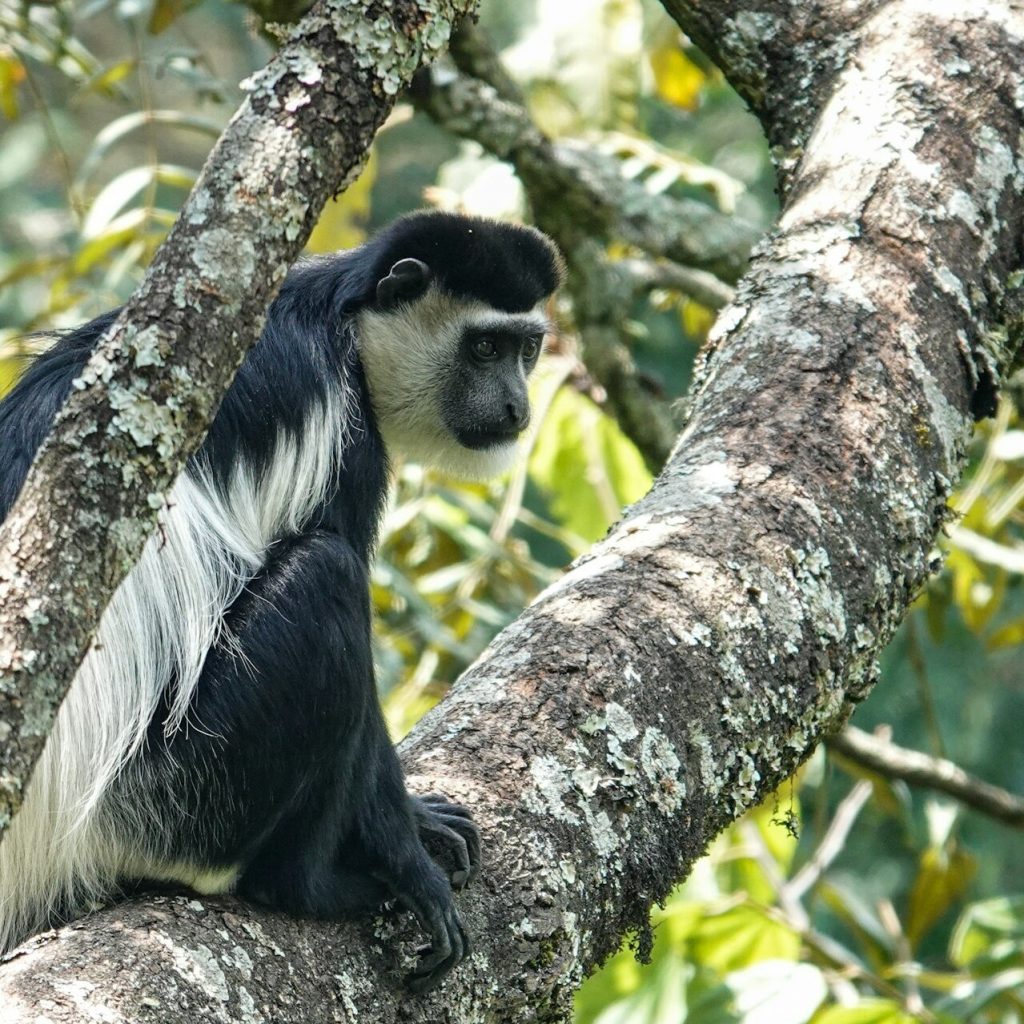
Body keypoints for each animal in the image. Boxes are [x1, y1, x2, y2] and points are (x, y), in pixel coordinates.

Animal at [0, 211, 563, 991]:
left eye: (526, 349)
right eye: (484, 347)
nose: (516, 409)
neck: (343, 322)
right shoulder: (343, 429)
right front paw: (407, 851)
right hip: (170, 793)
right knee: (325, 578)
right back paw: (310, 885)